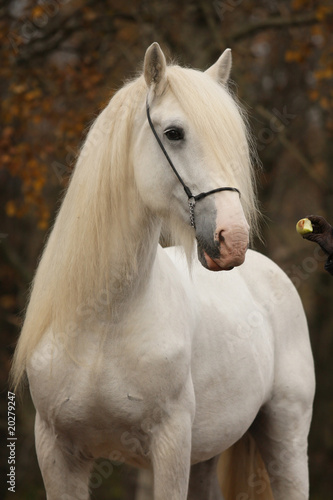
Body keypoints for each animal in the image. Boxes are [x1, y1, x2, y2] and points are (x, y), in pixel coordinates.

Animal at [11, 44, 314, 500]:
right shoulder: (56, 450)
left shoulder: (170, 446)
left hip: (286, 436)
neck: (103, 323)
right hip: (206, 455)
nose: (233, 239)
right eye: (174, 133)